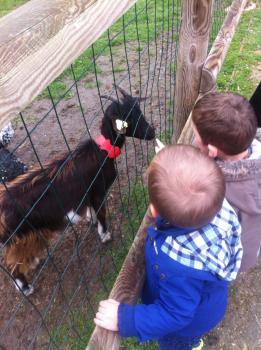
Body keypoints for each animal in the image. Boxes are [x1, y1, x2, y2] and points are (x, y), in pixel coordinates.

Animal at [0, 85, 154, 296]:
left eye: (139, 111)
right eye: (128, 119)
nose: (152, 132)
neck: (103, 151)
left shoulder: (88, 195)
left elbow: (94, 213)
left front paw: (94, 223)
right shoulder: (97, 192)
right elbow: (102, 213)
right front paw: (105, 235)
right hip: (17, 238)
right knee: (12, 266)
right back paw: (25, 288)